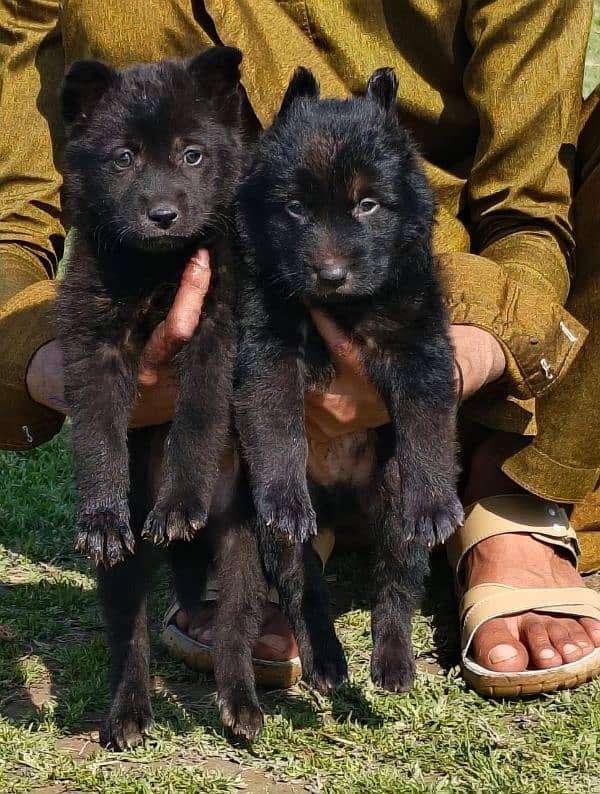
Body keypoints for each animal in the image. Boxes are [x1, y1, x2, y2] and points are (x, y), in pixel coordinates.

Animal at [56, 48, 268, 744]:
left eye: (192, 154)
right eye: (123, 158)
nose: (163, 215)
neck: (157, 266)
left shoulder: (215, 329)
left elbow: (196, 419)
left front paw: (179, 501)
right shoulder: (92, 345)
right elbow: (97, 433)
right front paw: (99, 513)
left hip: (245, 546)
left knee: (235, 626)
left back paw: (240, 704)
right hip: (131, 570)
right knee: (132, 637)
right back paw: (128, 712)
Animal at [237, 66, 462, 688]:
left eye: (368, 204)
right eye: (294, 207)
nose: (331, 275)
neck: (345, 309)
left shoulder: (421, 345)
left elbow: (427, 427)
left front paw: (436, 503)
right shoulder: (267, 346)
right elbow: (276, 425)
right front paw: (283, 491)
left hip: (391, 501)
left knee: (396, 587)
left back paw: (392, 660)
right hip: (283, 537)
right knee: (301, 586)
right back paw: (326, 660)